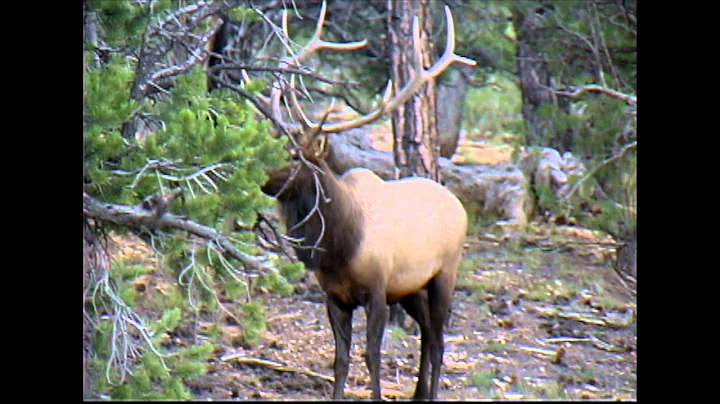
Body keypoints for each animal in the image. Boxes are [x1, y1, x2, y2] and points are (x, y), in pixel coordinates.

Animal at [256, 2, 475, 400]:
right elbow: (341, 360)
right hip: (411, 289)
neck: (338, 246)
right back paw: (418, 393)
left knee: (439, 341)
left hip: (444, 273)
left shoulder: (377, 288)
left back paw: (431, 392)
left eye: (296, 156)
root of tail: (456, 201)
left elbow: (372, 355)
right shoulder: (334, 295)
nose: (258, 174)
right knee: (426, 335)